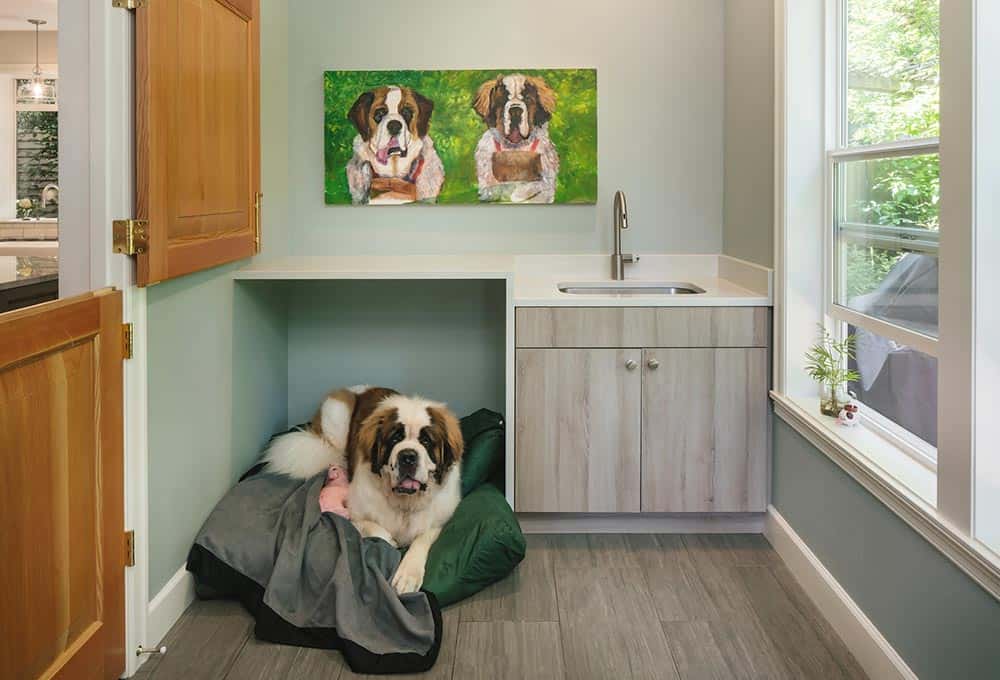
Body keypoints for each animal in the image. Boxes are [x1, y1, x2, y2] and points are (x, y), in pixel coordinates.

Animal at [258, 388, 460, 596]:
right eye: (395, 438)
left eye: (426, 441)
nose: (408, 456)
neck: (404, 502)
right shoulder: (352, 512)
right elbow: (370, 527)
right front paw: (389, 539)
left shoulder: (440, 519)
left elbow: (422, 538)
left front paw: (408, 574)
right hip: (337, 414)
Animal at [470, 74, 560, 203]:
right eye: (503, 100)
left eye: (527, 99)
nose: (516, 110)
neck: (515, 149)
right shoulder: (486, 184)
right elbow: (496, 187)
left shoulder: (547, 182)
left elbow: (536, 186)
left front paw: (519, 194)